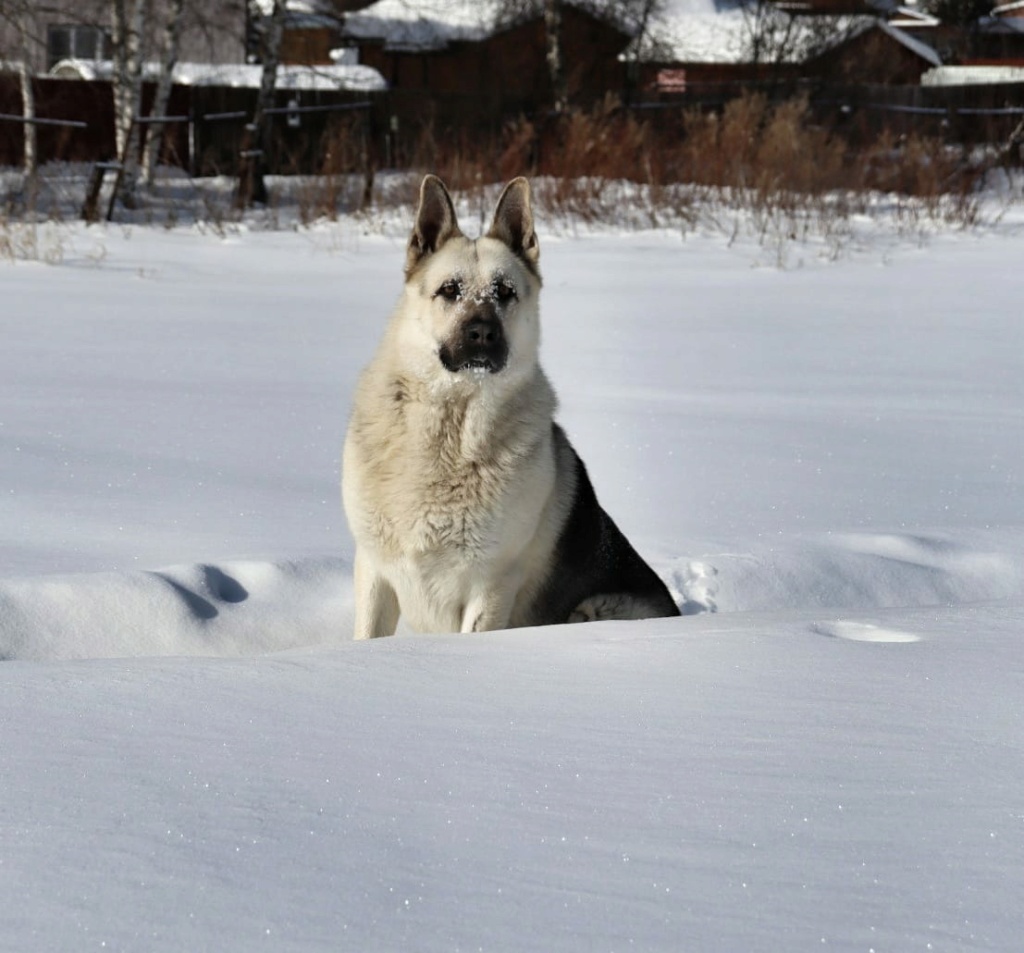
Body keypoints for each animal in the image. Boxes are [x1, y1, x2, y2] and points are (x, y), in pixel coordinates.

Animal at [342, 179, 679, 642]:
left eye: (505, 292)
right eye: (449, 290)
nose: (482, 333)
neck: (450, 429)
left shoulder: (491, 584)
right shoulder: (374, 569)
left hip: (595, 608)